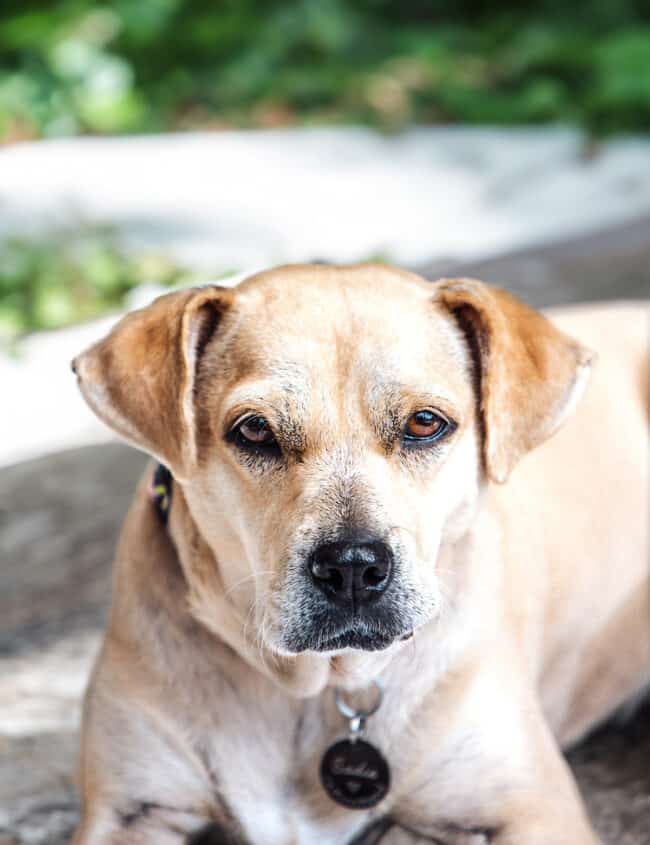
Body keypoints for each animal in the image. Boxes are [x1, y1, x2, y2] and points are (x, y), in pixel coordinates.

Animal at [71, 260, 648, 840]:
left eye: (424, 422)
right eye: (254, 429)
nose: (352, 567)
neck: (319, 685)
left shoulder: (533, 809)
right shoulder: (128, 810)